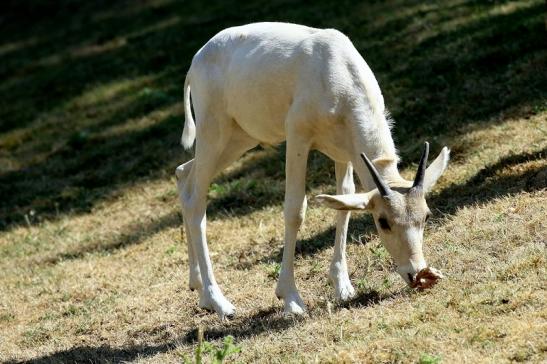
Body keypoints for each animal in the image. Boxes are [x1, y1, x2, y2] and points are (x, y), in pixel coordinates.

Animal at [176, 22, 450, 318]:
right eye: (383, 221)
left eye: (425, 216)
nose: (418, 274)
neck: (336, 70)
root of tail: (196, 61)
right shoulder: (298, 137)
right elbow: (295, 210)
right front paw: (291, 299)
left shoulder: (345, 153)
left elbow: (344, 202)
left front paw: (343, 286)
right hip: (213, 133)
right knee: (196, 200)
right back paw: (219, 301)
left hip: (239, 139)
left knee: (183, 174)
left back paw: (198, 288)